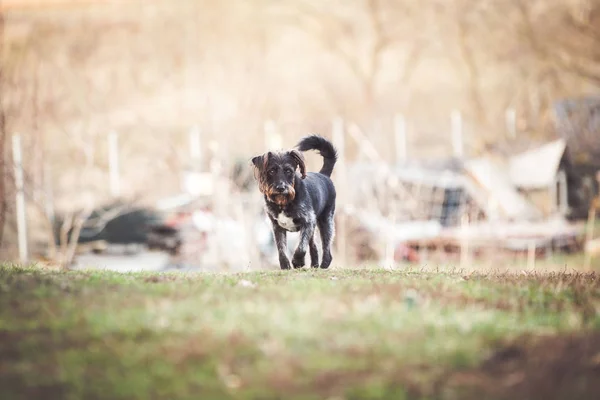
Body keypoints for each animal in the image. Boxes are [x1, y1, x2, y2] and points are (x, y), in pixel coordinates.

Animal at [252, 134, 340, 268]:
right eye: (271, 171)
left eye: (289, 171)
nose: (281, 188)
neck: (284, 203)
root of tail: (324, 175)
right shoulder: (277, 227)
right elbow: (281, 249)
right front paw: (285, 266)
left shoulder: (307, 222)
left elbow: (301, 247)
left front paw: (298, 262)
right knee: (313, 245)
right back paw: (314, 265)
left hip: (326, 222)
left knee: (326, 248)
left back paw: (324, 264)